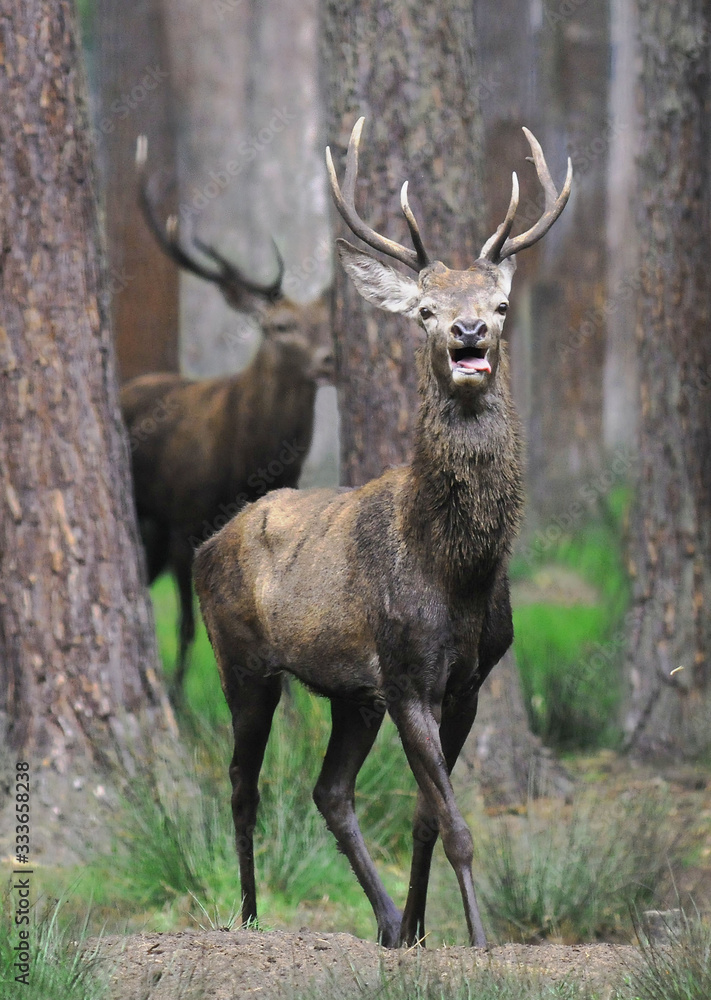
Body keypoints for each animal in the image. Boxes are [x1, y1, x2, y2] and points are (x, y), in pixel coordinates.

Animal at [121, 137, 334, 698]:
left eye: (330, 324)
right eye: (280, 326)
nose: (330, 359)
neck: (246, 461)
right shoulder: (185, 519)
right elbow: (186, 625)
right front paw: (176, 700)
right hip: (153, 518)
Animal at [193, 118, 572, 947]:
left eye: (499, 303)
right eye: (424, 310)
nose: (468, 333)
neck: (456, 571)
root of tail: (209, 541)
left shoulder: (464, 682)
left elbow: (429, 817)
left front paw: (424, 932)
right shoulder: (404, 676)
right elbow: (455, 824)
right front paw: (480, 940)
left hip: (347, 694)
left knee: (328, 792)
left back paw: (388, 922)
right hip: (242, 661)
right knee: (241, 782)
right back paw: (248, 913)